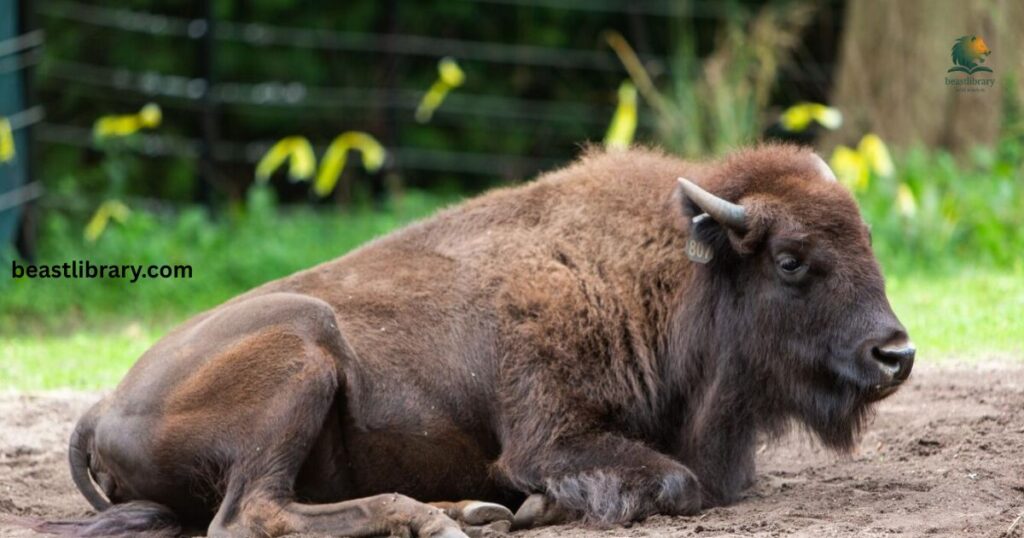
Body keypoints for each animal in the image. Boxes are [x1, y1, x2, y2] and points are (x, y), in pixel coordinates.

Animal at [43, 145, 913, 537]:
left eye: (868, 243)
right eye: (792, 260)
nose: (895, 355)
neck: (663, 277)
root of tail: (102, 405)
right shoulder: (550, 437)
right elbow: (671, 481)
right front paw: (539, 505)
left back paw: (465, 509)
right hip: (304, 352)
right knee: (252, 513)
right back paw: (438, 517)